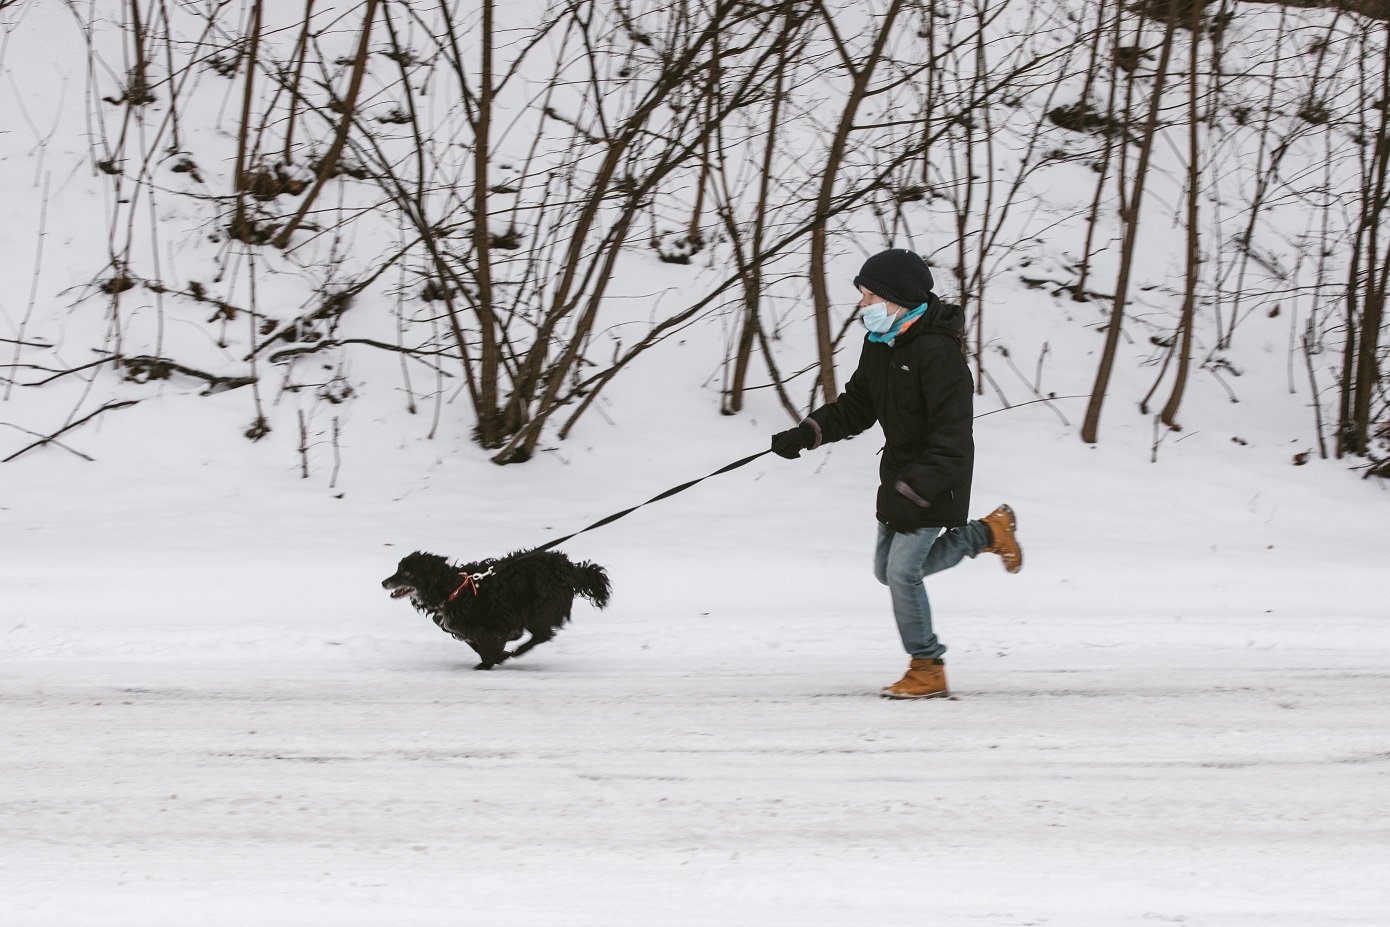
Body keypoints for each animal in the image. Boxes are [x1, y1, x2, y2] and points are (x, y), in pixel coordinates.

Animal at [382, 550, 611, 669]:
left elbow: (489, 646)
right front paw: (496, 658)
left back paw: (517, 652)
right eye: (398, 568)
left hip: (538, 610)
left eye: (407, 573)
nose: (384, 582)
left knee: (543, 634)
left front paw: (489, 662)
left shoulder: (496, 623)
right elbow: (477, 645)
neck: (455, 589)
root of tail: (568, 568)